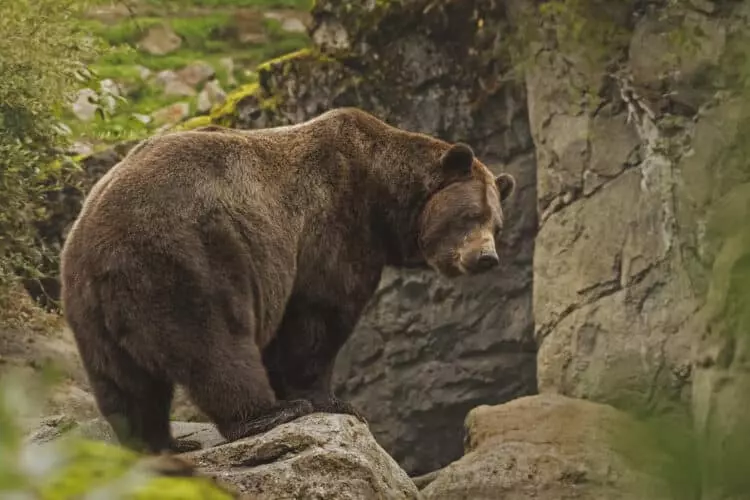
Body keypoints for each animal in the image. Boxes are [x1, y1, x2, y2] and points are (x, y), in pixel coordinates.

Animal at [59, 107, 517, 455]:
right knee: (214, 342)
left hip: (87, 304)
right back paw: (267, 414)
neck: (383, 197)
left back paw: (159, 443)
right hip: (186, 257)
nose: (487, 258)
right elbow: (317, 318)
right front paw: (331, 401)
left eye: (496, 223)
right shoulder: (333, 225)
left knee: (124, 382)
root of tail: (100, 246)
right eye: (470, 216)